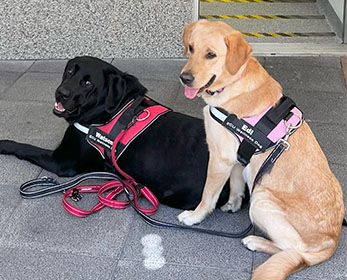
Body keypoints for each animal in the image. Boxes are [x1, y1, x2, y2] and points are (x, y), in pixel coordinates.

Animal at [0, 56, 234, 210]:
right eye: (70, 71)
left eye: (87, 83)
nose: (61, 93)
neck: (112, 109)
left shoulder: (63, 160)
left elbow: (25, 147)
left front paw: (4, 143)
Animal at [178, 20, 346, 280]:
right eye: (191, 48)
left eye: (211, 55)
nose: (184, 78)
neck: (233, 83)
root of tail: (332, 243)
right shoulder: (239, 157)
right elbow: (236, 185)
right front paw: (233, 205)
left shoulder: (220, 159)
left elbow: (208, 195)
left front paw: (195, 216)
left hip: (261, 199)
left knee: (293, 250)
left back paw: (256, 242)